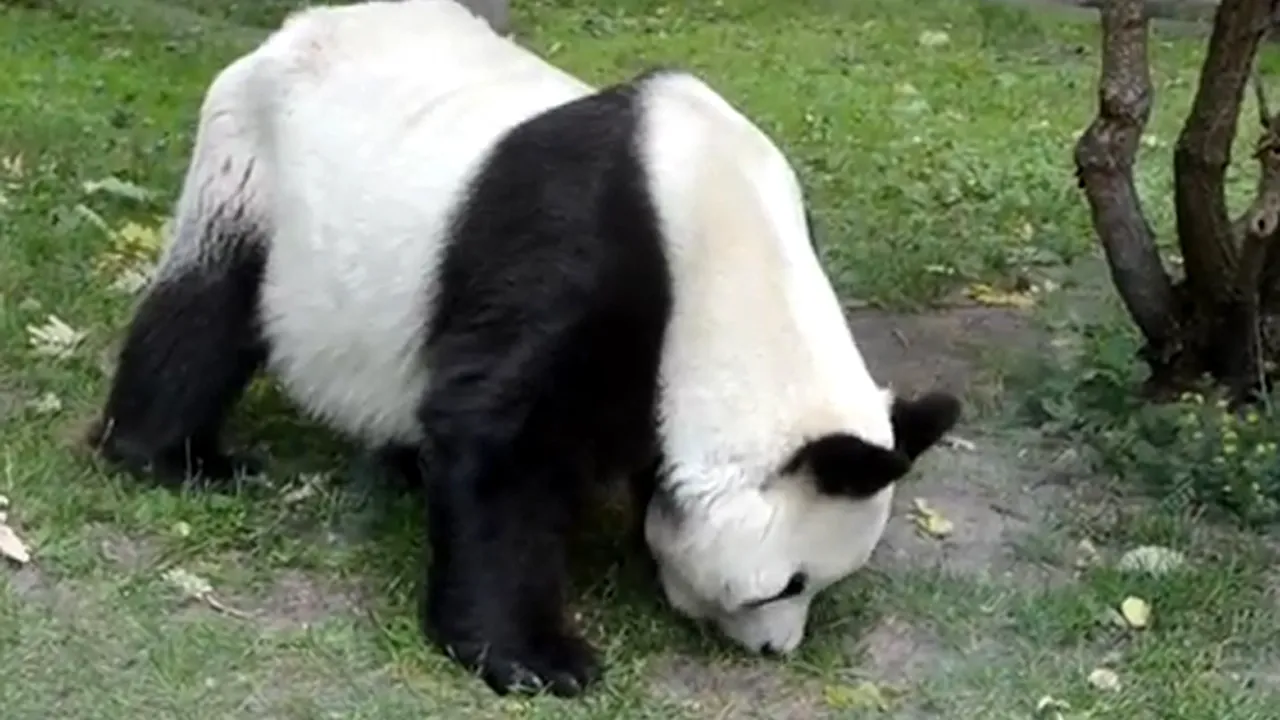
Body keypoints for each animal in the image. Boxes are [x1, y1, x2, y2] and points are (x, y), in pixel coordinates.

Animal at [88, 0, 961, 699]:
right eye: (784, 585)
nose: (774, 649)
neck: (727, 261)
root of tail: (293, 29)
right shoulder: (578, 253)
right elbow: (503, 441)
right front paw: (540, 658)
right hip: (253, 169)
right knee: (206, 310)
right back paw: (177, 458)